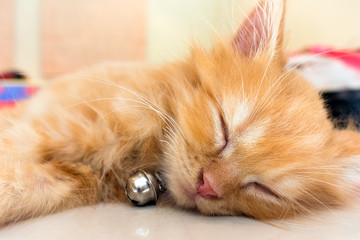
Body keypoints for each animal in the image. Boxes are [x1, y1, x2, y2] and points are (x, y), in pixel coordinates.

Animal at [0, 0, 360, 225]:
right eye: (223, 128)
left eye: (263, 189)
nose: (208, 185)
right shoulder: (46, 127)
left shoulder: (66, 180)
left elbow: (16, 187)